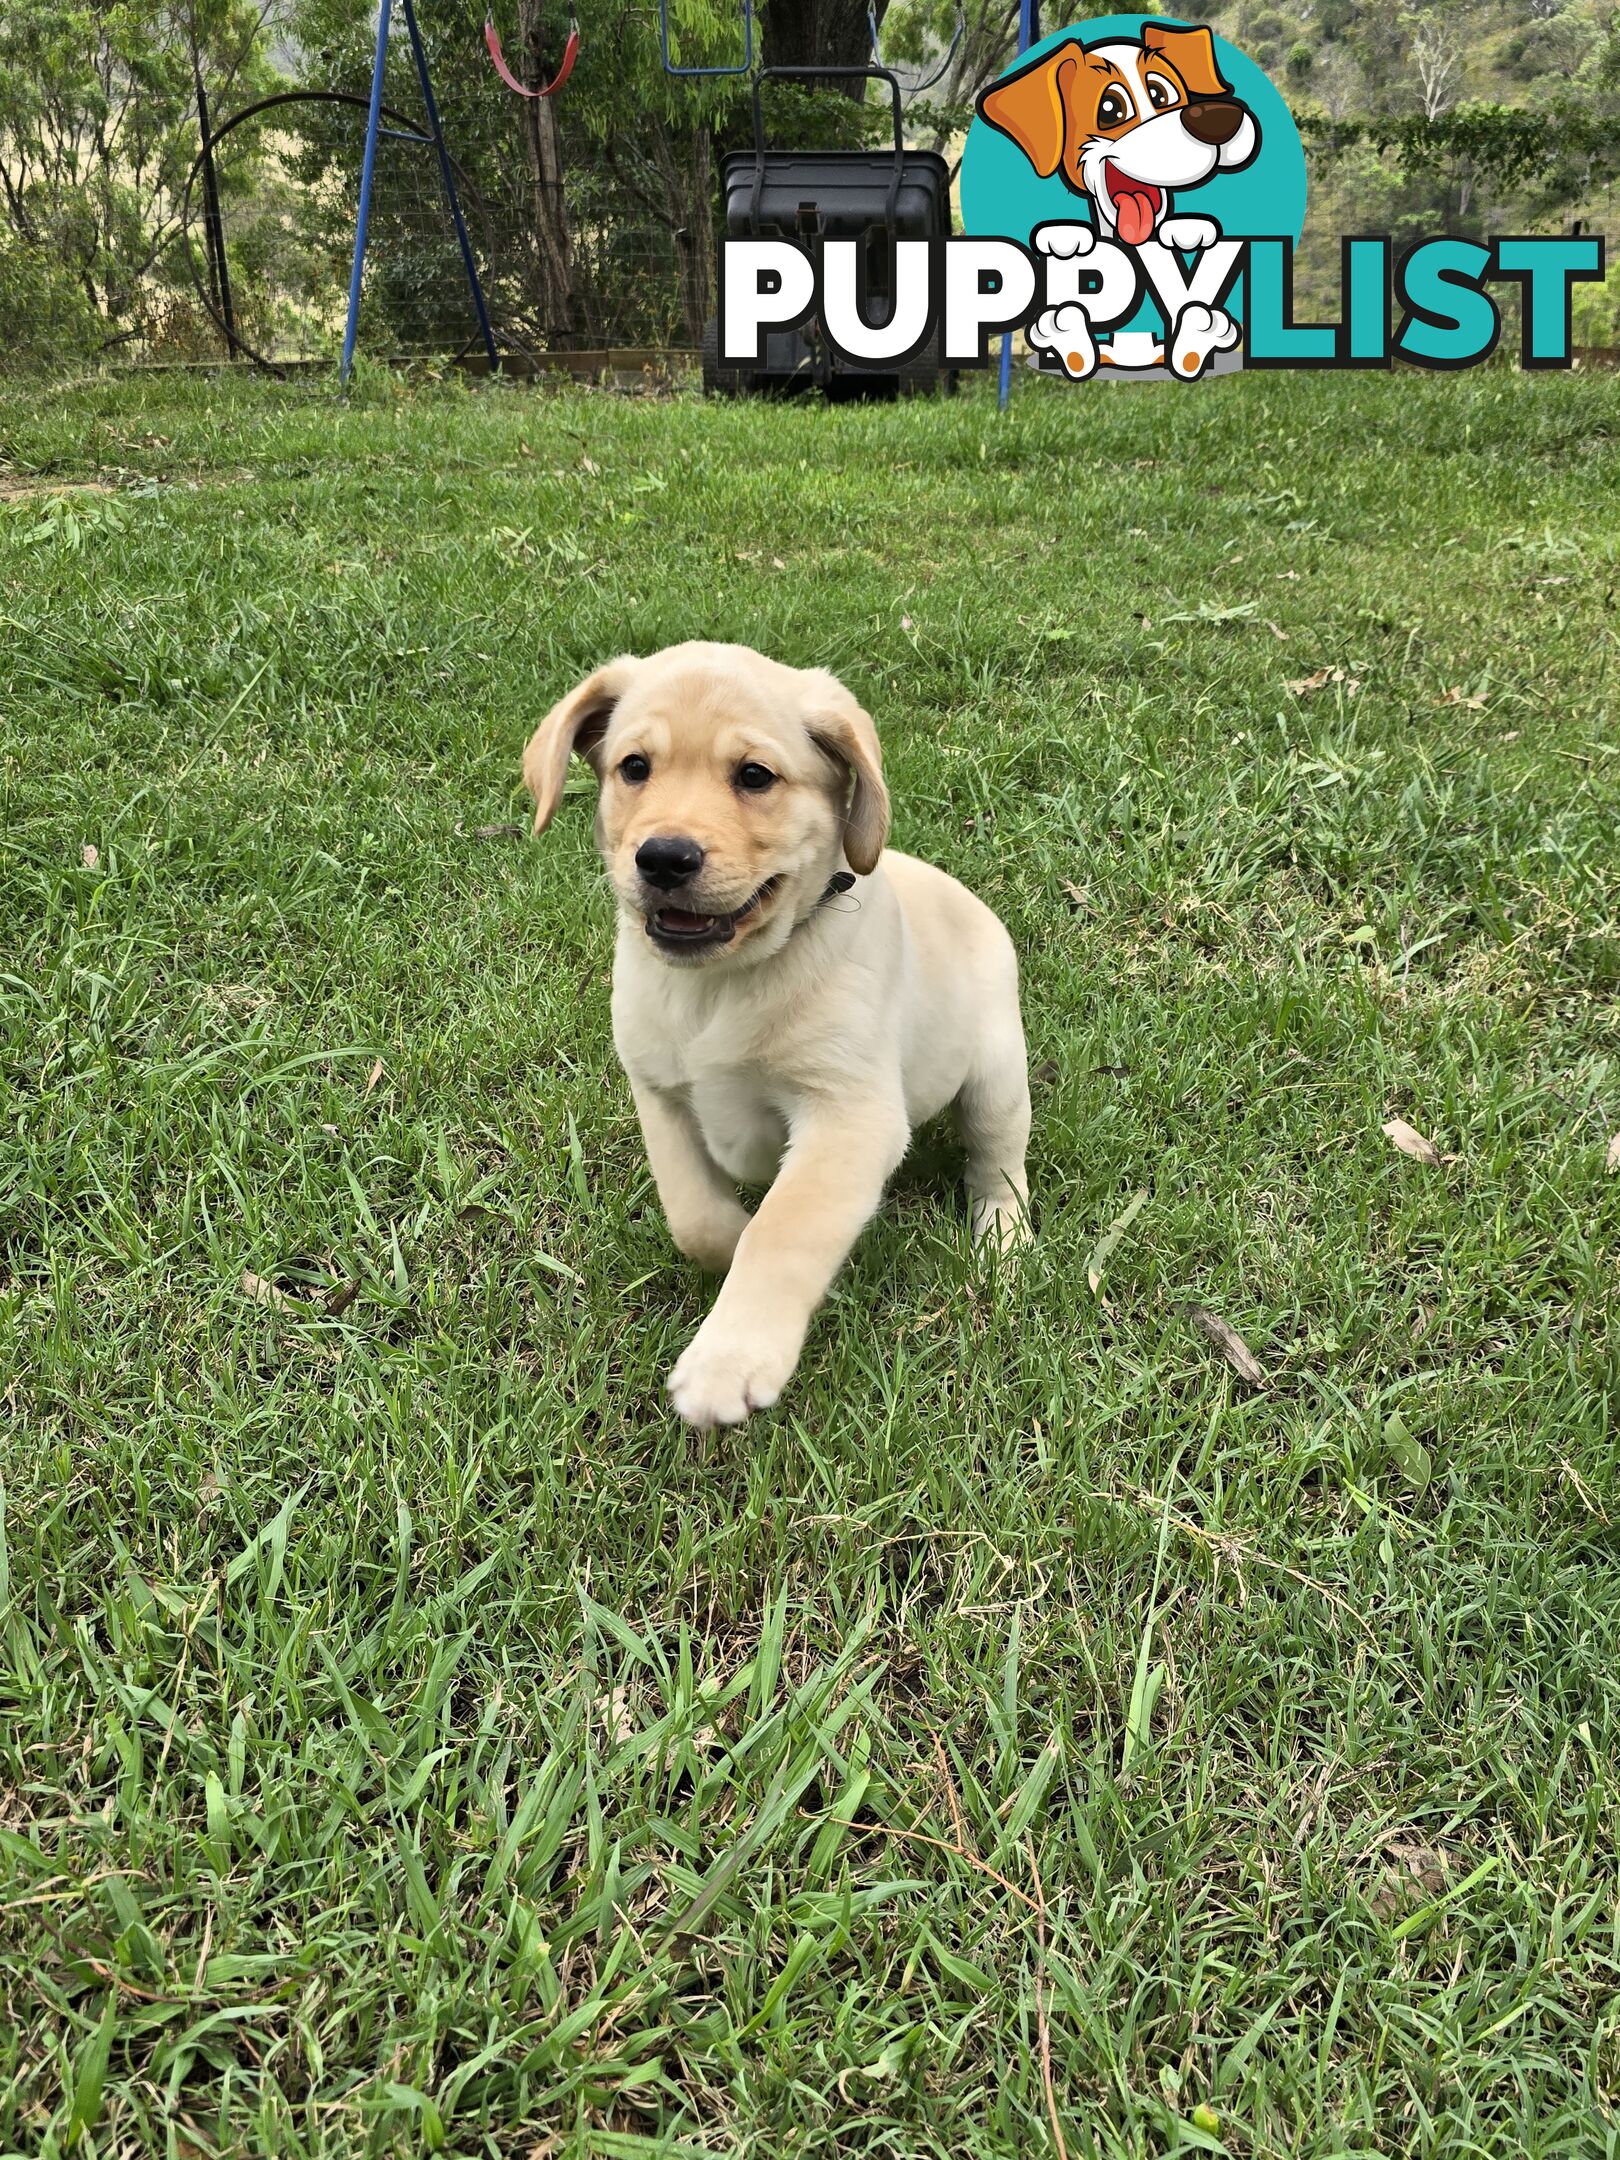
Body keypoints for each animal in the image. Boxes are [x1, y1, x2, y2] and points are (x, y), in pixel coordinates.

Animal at [527, 635, 1032, 1434]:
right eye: (634, 768)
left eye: (755, 776)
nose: (664, 858)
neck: (721, 983)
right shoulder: (660, 1093)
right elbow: (695, 1215)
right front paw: (729, 1244)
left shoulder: (849, 1113)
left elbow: (786, 1227)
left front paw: (730, 1358)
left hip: (996, 1076)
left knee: (998, 1165)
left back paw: (1003, 1246)